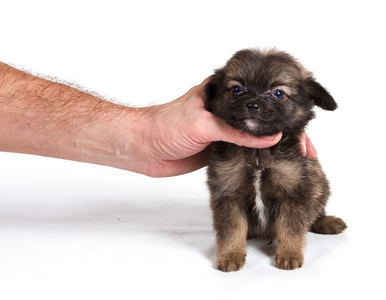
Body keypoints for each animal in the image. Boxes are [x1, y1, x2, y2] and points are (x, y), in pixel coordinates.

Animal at [205, 49, 346, 272]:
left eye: (278, 93)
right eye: (236, 89)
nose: (253, 105)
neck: (256, 152)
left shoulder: (295, 190)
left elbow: (292, 228)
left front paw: (289, 254)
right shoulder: (227, 192)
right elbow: (230, 228)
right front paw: (230, 255)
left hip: (320, 185)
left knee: (315, 214)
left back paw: (326, 222)